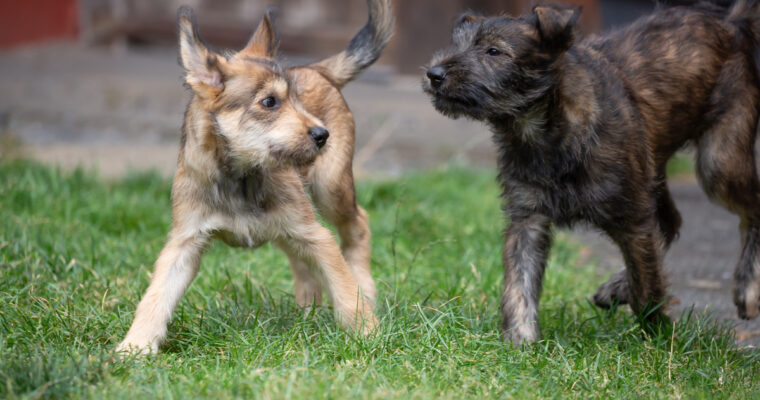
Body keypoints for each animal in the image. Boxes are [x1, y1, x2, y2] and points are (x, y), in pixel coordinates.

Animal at [117, 1, 398, 354]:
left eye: (295, 100)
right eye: (269, 102)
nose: (322, 135)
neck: (241, 175)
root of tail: (316, 69)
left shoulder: (315, 235)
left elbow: (344, 287)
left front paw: (368, 334)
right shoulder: (185, 242)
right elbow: (156, 296)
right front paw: (135, 347)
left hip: (330, 187)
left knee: (358, 225)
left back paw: (365, 290)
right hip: (291, 224)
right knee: (301, 262)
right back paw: (307, 310)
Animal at [422, 0, 760, 344]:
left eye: (493, 51)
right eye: (457, 44)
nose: (434, 74)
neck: (542, 133)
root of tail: (732, 23)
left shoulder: (633, 220)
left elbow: (646, 284)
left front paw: (658, 339)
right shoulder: (527, 218)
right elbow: (519, 284)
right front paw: (519, 342)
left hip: (718, 163)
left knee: (749, 209)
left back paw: (746, 288)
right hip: (653, 169)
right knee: (670, 221)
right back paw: (616, 288)